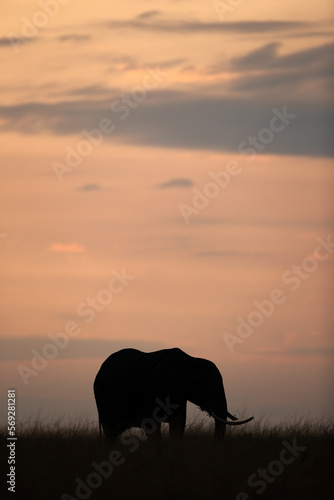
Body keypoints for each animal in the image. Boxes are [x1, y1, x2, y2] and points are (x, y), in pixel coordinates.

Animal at [92, 348, 252, 442]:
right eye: (205, 386)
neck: (190, 360)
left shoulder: (179, 396)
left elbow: (178, 425)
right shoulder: (154, 391)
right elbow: (151, 425)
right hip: (103, 397)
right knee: (110, 429)